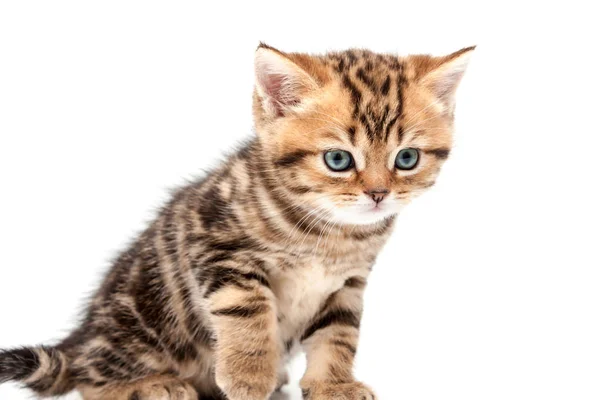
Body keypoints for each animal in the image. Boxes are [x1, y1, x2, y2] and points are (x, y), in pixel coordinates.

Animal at [0, 44, 474, 400]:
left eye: (406, 158)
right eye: (338, 160)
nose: (378, 194)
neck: (331, 233)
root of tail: (83, 338)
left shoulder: (348, 282)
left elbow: (338, 333)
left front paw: (332, 385)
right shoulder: (217, 246)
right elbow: (247, 311)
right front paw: (249, 377)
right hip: (144, 326)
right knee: (89, 382)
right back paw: (152, 385)